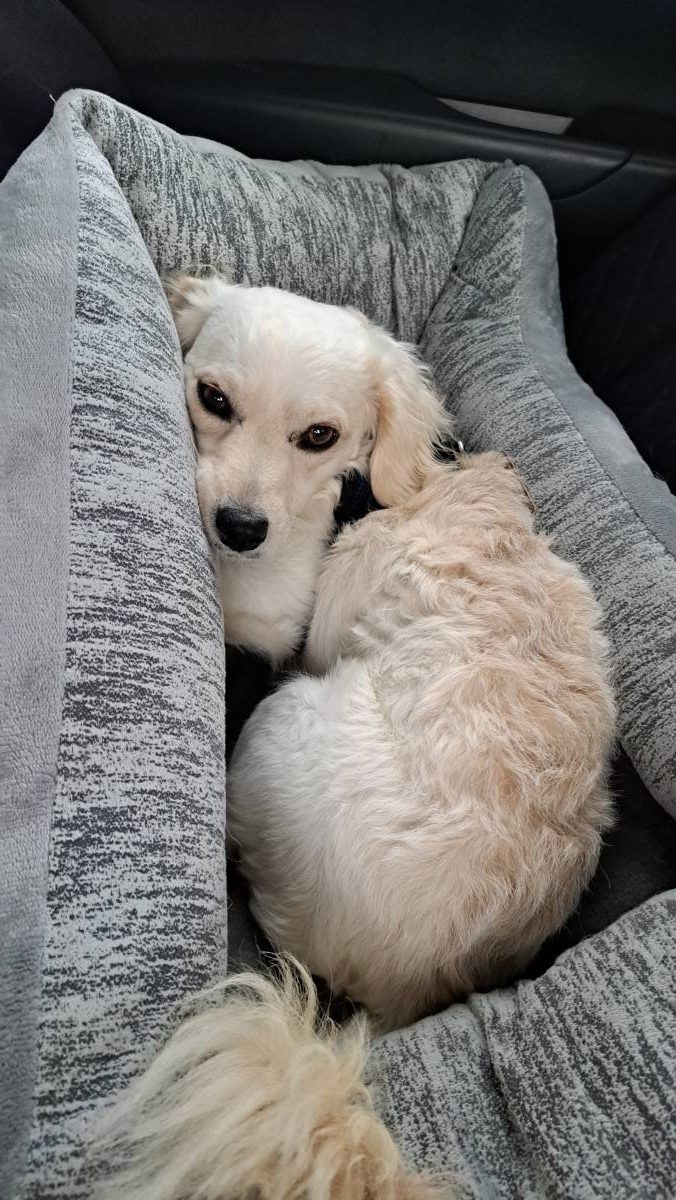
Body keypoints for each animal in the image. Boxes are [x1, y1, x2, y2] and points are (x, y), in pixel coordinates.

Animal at [99, 283, 614, 1200]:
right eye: (213, 399)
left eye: (319, 436)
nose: (237, 527)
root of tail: (401, 992)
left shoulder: (285, 626)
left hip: (283, 725)